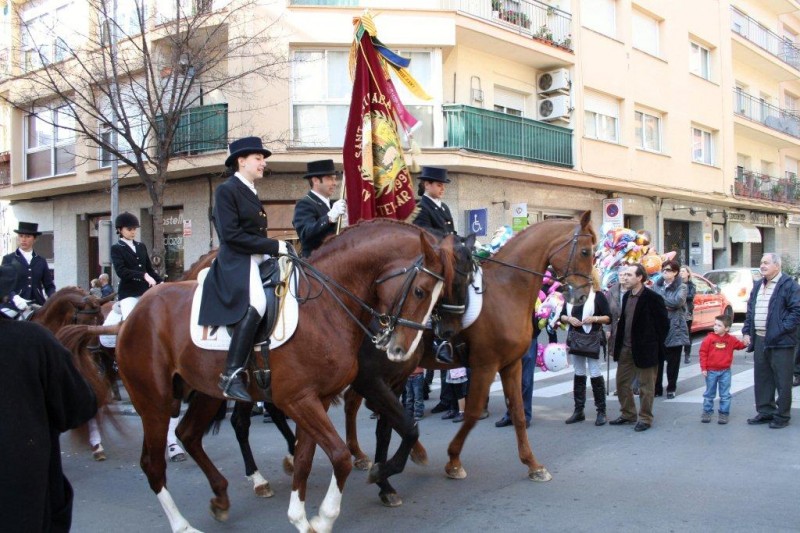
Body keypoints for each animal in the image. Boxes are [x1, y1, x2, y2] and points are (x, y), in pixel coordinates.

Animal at [109, 219, 454, 532]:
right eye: (420, 291)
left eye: (440, 295)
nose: (399, 349)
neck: (325, 307)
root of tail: (134, 312)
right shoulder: (300, 399)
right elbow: (340, 456)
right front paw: (325, 516)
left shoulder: (318, 399)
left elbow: (305, 458)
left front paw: (301, 518)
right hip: (154, 402)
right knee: (153, 465)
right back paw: (183, 524)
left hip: (206, 393)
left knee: (189, 434)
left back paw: (222, 497)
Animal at [346, 211, 596, 494]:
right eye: (586, 251)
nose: (582, 296)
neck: (507, 290)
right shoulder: (486, 365)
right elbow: (473, 412)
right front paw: (453, 461)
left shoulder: (511, 364)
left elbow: (518, 413)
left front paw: (533, 465)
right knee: (362, 403)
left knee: (359, 403)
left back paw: (378, 454)